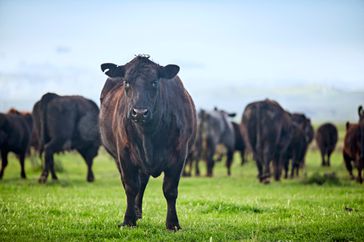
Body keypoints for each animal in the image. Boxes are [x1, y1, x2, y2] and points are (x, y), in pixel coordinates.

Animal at [99, 55, 196, 231]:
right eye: (127, 82)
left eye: (154, 82)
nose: (139, 112)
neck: (148, 136)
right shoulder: (124, 154)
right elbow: (131, 187)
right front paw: (128, 220)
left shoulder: (180, 155)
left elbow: (170, 190)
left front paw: (173, 223)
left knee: (142, 182)